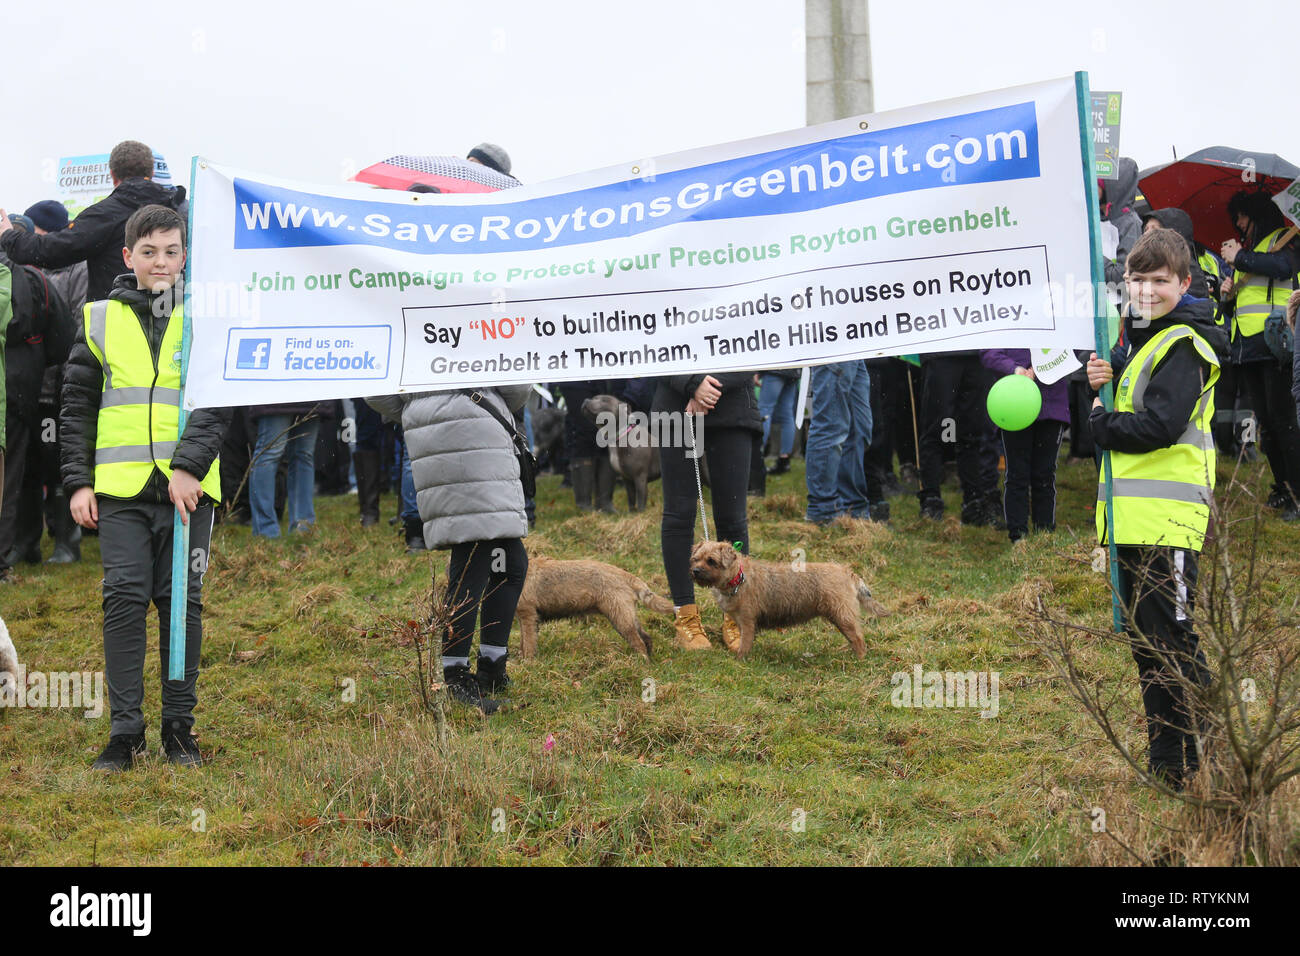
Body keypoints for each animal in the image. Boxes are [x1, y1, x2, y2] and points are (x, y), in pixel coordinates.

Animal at [509, 556, 670, 660]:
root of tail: (625, 575)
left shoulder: (528, 616)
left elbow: (528, 644)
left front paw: (528, 663)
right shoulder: (524, 619)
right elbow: (523, 642)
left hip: (620, 618)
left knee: (639, 643)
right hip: (627, 616)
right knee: (646, 638)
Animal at [691, 541, 883, 660]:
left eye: (711, 561)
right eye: (695, 559)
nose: (695, 571)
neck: (738, 577)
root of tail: (846, 571)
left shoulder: (747, 621)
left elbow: (745, 643)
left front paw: (740, 659)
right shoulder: (740, 620)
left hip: (843, 616)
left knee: (858, 639)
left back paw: (859, 659)